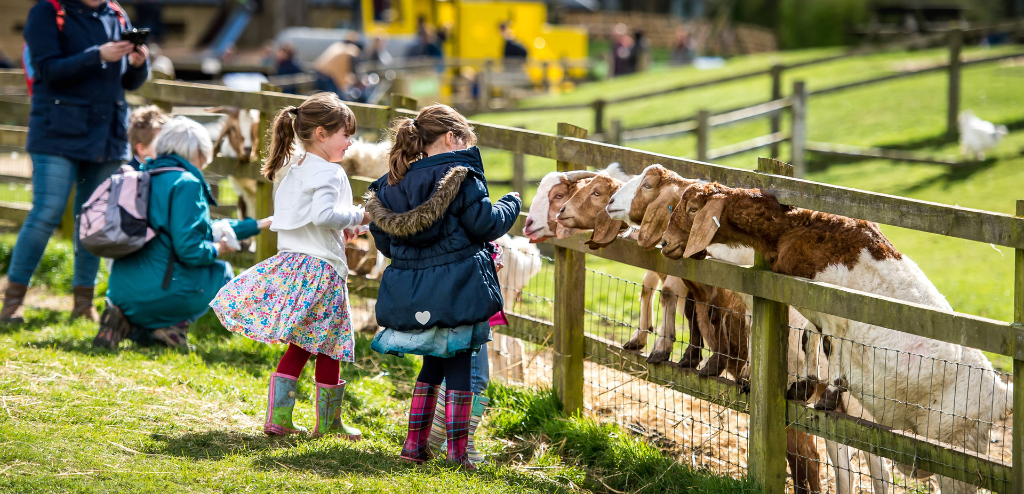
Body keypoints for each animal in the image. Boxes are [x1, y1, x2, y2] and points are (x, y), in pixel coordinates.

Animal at [662, 182, 1011, 494]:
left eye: (692, 208)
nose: (665, 243)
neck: (798, 229)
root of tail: (1001, 394)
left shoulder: (836, 308)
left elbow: (834, 346)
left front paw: (825, 394)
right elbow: (811, 337)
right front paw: (803, 385)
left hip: (957, 445)